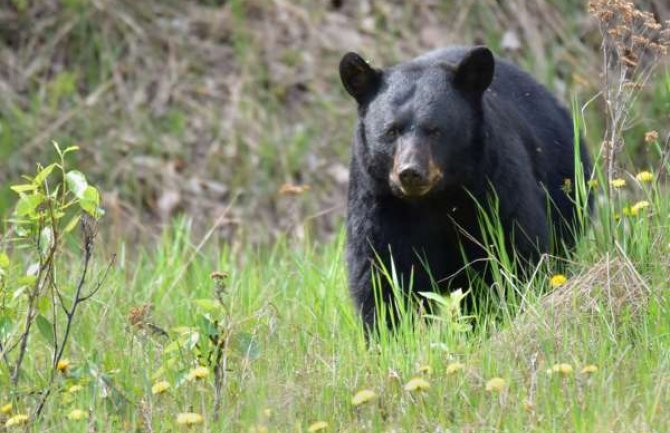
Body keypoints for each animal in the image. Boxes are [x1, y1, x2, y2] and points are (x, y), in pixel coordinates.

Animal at [342, 46, 592, 330]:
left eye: (435, 130)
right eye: (392, 131)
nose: (410, 172)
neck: (434, 199)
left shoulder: (492, 186)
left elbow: (512, 250)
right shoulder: (379, 201)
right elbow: (382, 272)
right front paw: (392, 331)